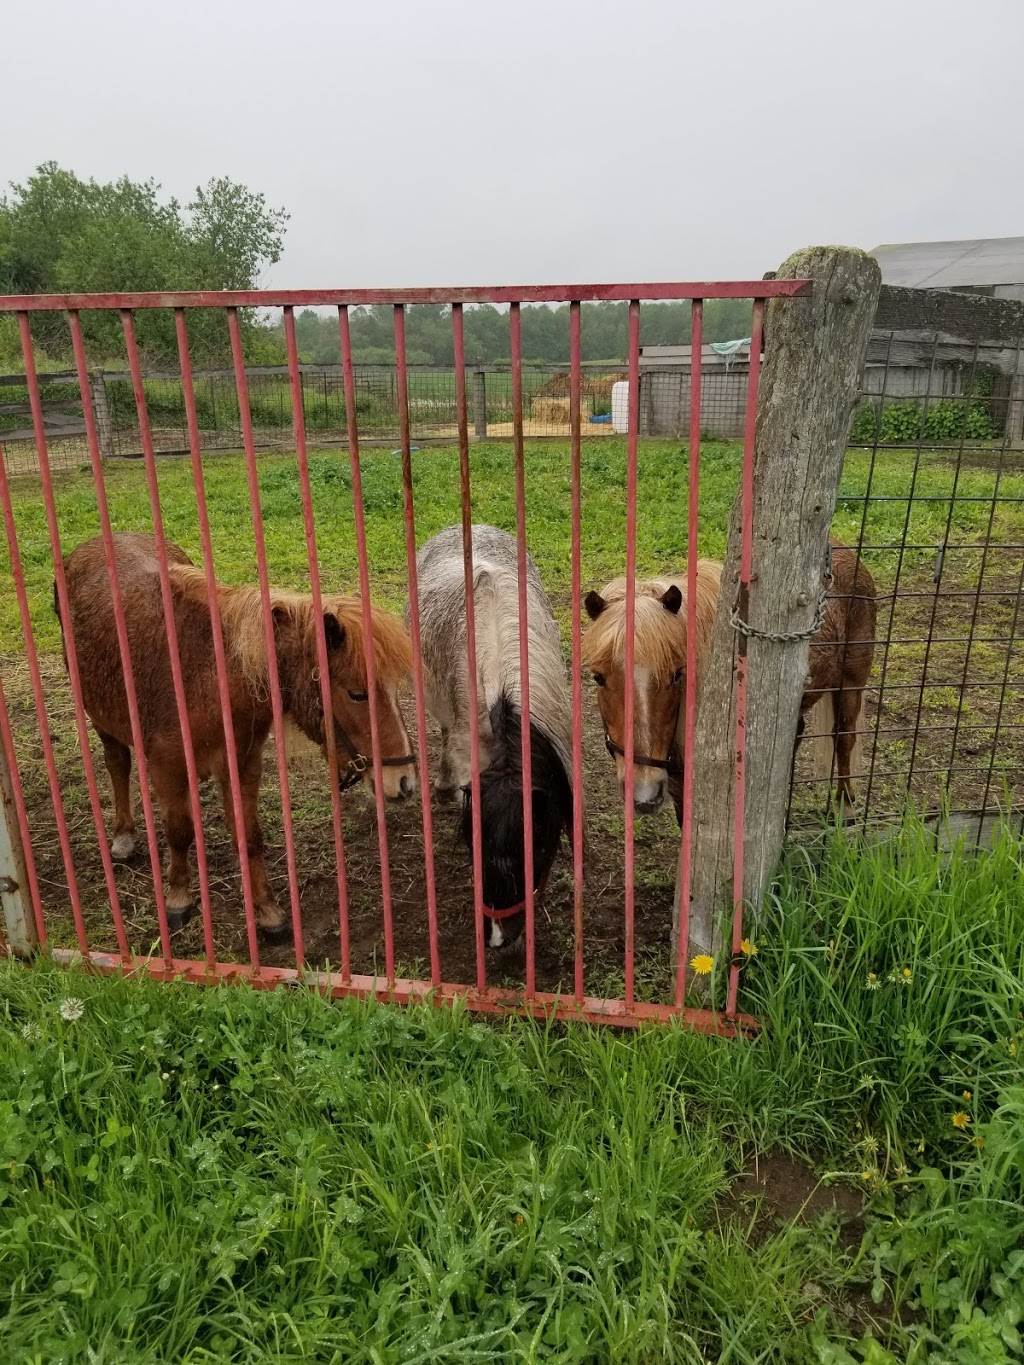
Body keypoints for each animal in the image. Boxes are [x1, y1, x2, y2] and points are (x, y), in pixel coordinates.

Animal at [55, 532, 417, 939]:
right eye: (357, 694)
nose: (404, 781)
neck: (210, 673)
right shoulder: (167, 767)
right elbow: (179, 831)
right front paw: (179, 898)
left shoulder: (244, 765)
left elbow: (249, 835)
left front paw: (267, 911)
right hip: (102, 719)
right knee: (117, 764)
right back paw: (123, 835)